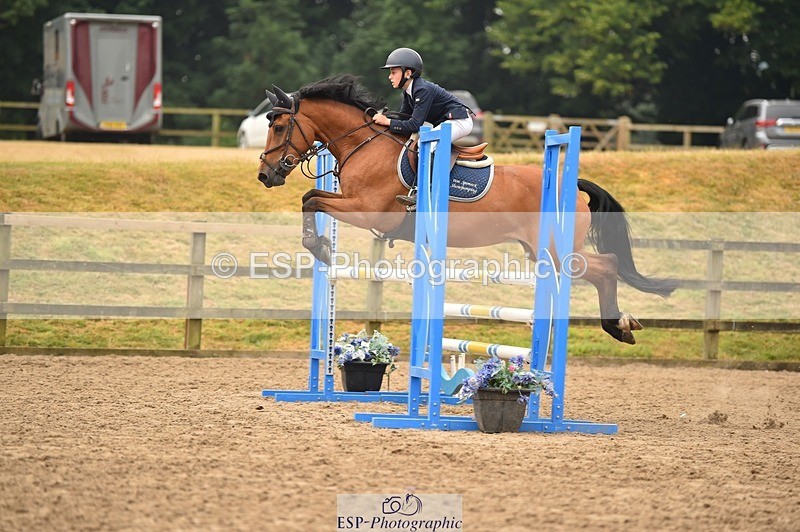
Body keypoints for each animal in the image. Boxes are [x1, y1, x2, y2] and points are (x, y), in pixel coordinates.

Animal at [256, 74, 676, 344]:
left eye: (278, 127)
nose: (265, 174)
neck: (363, 144)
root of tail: (571, 186)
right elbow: (309, 198)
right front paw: (322, 247)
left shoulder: (368, 210)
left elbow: (311, 199)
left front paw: (321, 248)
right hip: (542, 251)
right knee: (603, 267)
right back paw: (619, 327)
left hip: (559, 251)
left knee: (607, 266)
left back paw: (619, 326)